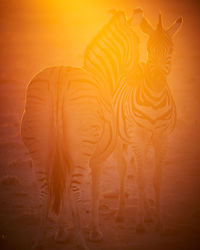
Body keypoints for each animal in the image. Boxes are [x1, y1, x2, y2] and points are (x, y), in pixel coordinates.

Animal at [20, 8, 142, 249]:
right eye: (139, 42)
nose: (138, 79)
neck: (104, 77)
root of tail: (59, 77)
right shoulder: (98, 159)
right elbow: (95, 191)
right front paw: (94, 231)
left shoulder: (64, 158)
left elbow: (62, 191)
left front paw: (60, 232)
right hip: (81, 149)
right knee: (76, 192)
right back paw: (82, 241)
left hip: (40, 150)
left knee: (46, 192)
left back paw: (38, 240)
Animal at [112, 14, 183, 231]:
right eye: (150, 50)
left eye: (171, 51)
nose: (158, 80)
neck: (155, 101)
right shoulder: (138, 135)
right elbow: (141, 179)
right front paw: (140, 222)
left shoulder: (162, 137)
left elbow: (156, 179)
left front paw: (158, 220)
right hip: (122, 139)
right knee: (123, 169)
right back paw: (121, 212)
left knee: (136, 168)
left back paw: (149, 212)